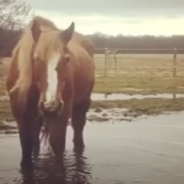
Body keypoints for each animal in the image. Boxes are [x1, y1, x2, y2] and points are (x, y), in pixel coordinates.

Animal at [6, 16, 95, 170]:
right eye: (35, 58)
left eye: (67, 59)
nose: (51, 104)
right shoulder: (21, 116)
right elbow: (26, 145)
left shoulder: (61, 114)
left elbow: (58, 145)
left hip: (82, 105)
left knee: (78, 131)